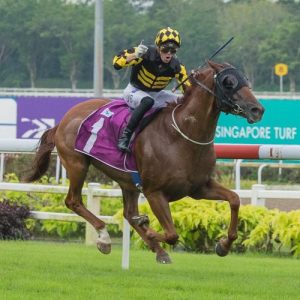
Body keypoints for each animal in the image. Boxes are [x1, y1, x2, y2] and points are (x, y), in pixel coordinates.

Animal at [26, 60, 264, 262]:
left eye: (244, 78)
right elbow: (171, 234)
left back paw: (157, 249)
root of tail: (64, 119)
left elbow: (234, 199)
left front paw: (223, 244)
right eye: (228, 82)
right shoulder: (154, 192)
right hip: (77, 163)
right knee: (73, 201)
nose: (257, 109)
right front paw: (147, 228)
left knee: (127, 212)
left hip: (127, 180)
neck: (182, 136)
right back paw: (104, 238)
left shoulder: (199, 187)